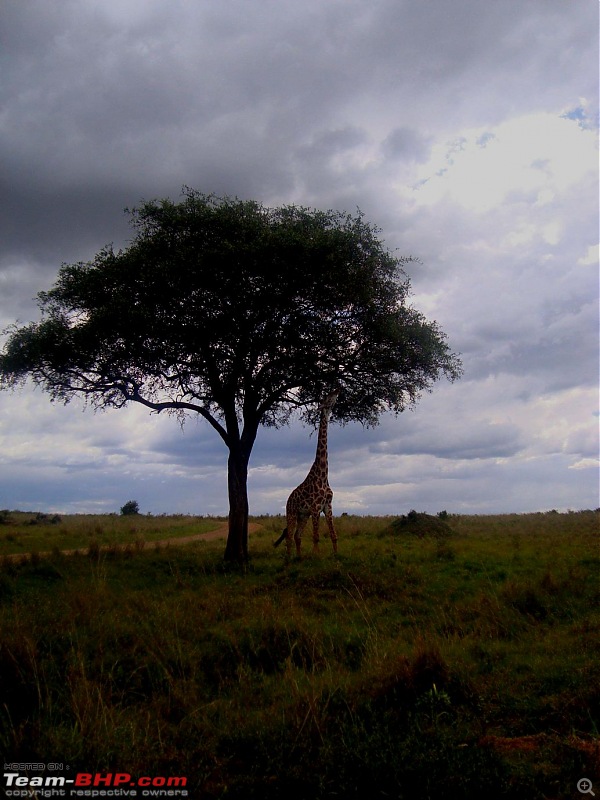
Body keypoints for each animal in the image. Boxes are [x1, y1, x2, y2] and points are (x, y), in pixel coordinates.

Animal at [274, 390, 338, 556]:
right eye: (328, 397)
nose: (338, 389)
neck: (324, 475)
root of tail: (288, 499)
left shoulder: (327, 506)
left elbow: (333, 535)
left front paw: (336, 556)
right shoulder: (315, 508)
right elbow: (316, 537)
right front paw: (316, 556)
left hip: (303, 515)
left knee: (297, 536)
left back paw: (299, 557)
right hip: (291, 513)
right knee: (289, 536)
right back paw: (289, 559)